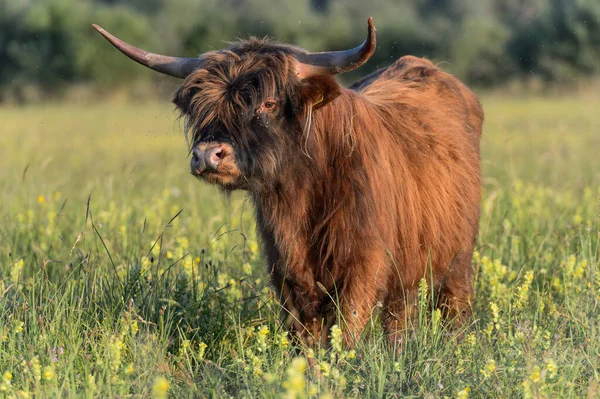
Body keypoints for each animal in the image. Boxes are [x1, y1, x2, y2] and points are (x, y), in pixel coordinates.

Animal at [92, 18, 482, 346]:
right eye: (200, 105)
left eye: (267, 103)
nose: (208, 155)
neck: (301, 197)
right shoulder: (285, 265)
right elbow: (304, 333)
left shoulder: (365, 261)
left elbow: (347, 326)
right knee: (400, 318)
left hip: (457, 259)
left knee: (451, 308)